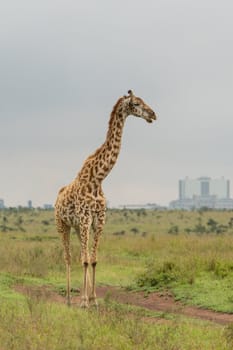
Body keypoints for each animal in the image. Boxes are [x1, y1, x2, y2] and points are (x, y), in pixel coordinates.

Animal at [54, 89, 157, 306]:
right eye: (136, 103)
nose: (153, 115)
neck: (98, 178)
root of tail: (58, 196)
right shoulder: (85, 219)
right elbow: (85, 260)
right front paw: (84, 301)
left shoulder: (98, 221)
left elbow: (92, 260)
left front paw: (93, 300)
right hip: (62, 224)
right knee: (68, 257)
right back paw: (69, 299)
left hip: (77, 227)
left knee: (80, 254)